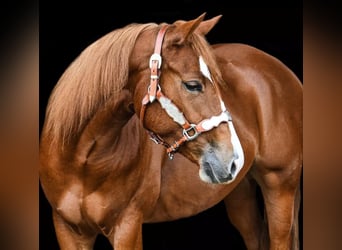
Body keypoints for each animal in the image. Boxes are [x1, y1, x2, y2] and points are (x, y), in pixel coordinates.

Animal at [39, 13, 302, 250]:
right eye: (193, 85)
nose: (234, 158)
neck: (83, 161)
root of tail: (283, 72)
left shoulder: (128, 226)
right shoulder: (68, 229)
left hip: (280, 186)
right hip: (240, 193)